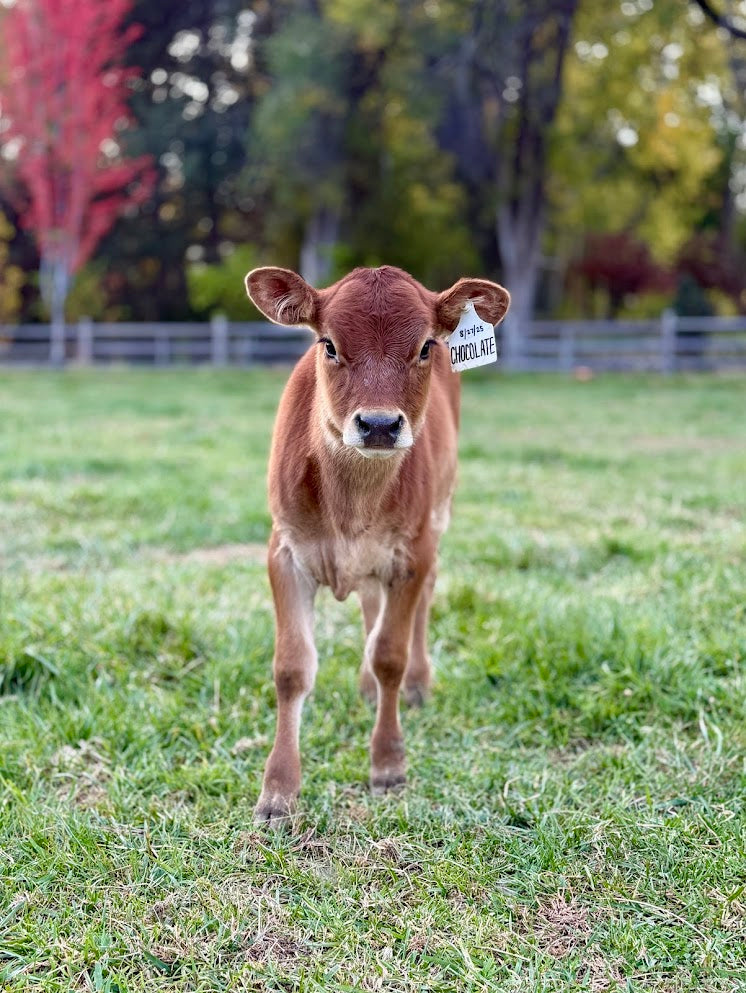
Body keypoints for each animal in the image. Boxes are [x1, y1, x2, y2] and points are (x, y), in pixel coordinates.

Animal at [245, 264, 510, 825]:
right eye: (328, 344)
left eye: (426, 346)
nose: (380, 425)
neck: (352, 504)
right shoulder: (285, 552)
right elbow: (291, 668)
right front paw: (278, 791)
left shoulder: (412, 554)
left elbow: (391, 653)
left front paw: (388, 762)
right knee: (369, 603)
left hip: (438, 517)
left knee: (419, 604)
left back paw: (416, 684)